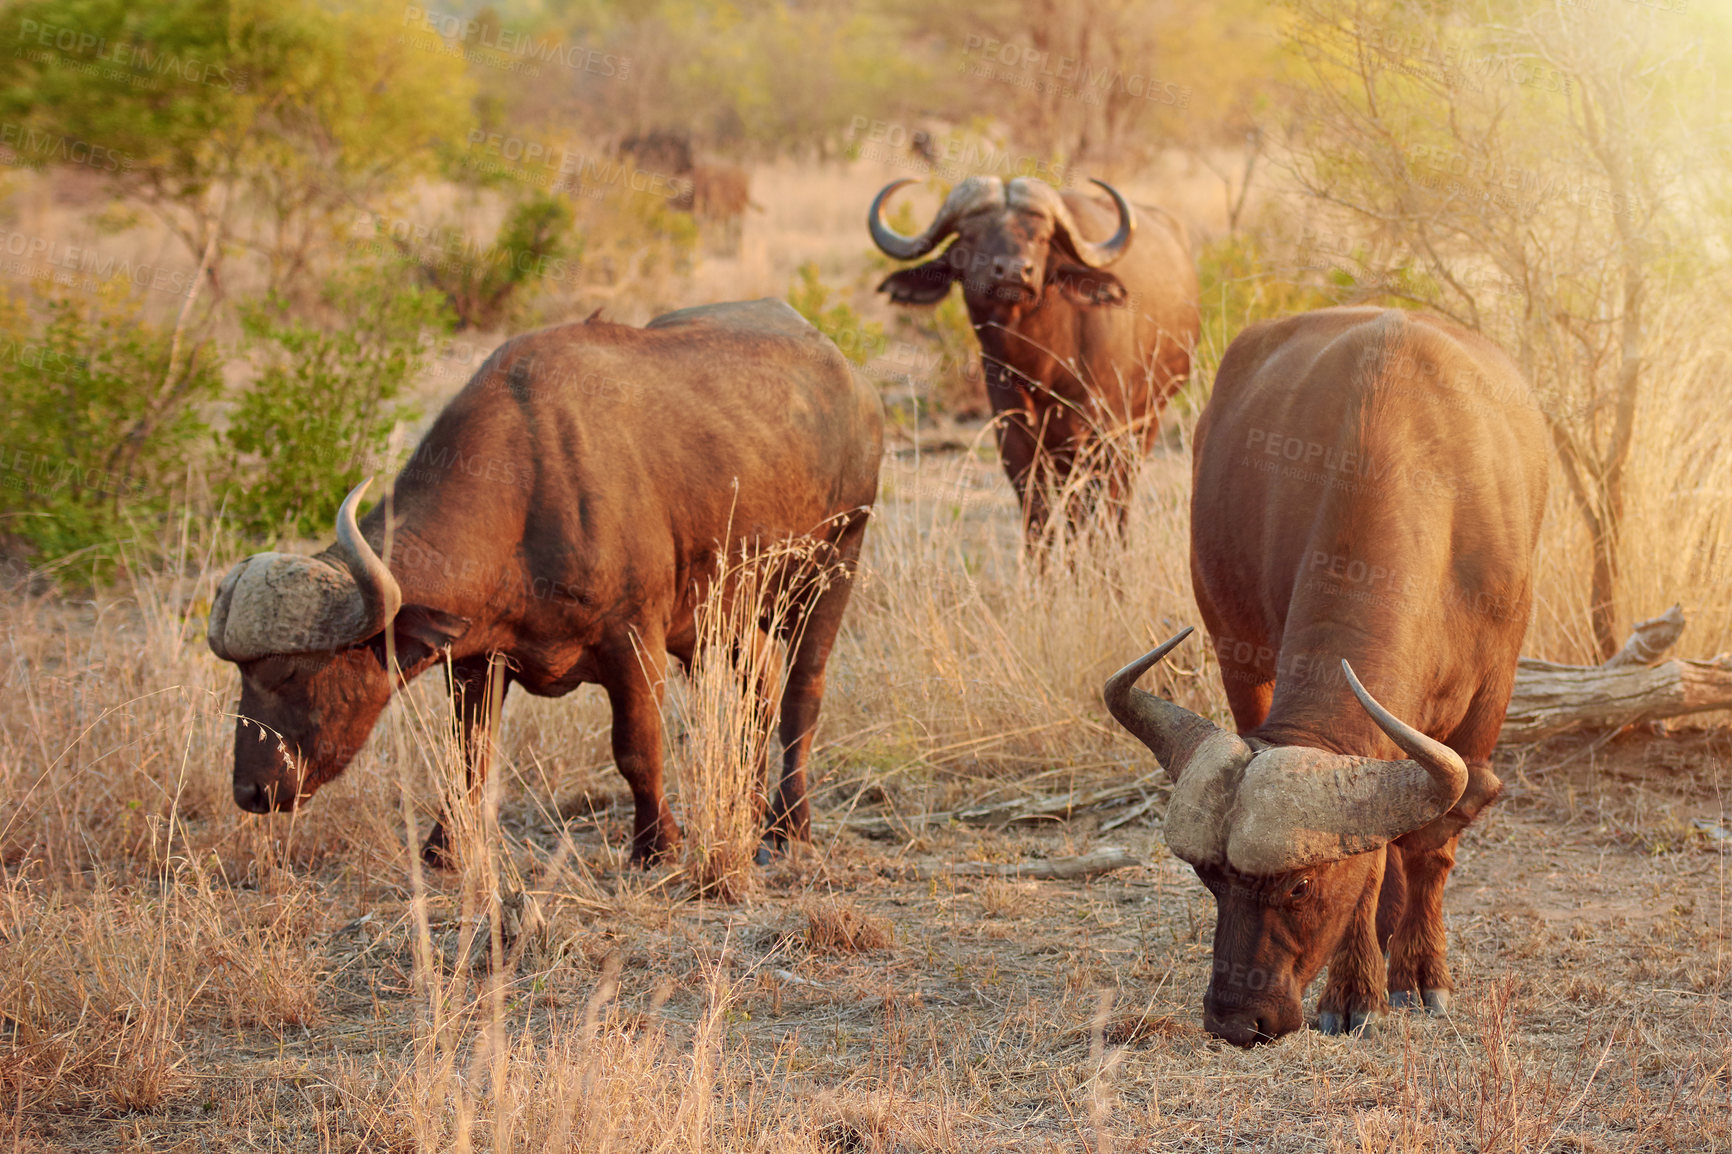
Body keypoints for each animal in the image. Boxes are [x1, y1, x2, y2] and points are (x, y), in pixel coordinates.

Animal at [209, 296, 886, 862]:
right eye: (241, 672)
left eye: (292, 671)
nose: (250, 791)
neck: (528, 488)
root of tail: (849, 379)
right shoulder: (475, 661)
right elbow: (468, 756)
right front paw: (444, 849)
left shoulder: (634, 642)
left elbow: (637, 748)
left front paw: (657, 846)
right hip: (723, 617)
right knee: (757, 687)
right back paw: (746, 807)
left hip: (835, 565)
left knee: (801, 694)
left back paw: (787, 824)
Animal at [872, 175, 1198, 544]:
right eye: (970, 236)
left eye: (1040, 238)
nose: (1014, 272)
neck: (1041, 365)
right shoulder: (1014, 440)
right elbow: (1038, 518)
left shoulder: (1094, 435)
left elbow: (1081, 514)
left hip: (1146, 420)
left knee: (1117, 498)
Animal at [1108, 304, 1544, 1039]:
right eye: (1208, 879)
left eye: (1300, 885)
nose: (1236, 1019)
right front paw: (1354, 990)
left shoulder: (1490, 697)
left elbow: (1431, 843)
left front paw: (1420, 974)